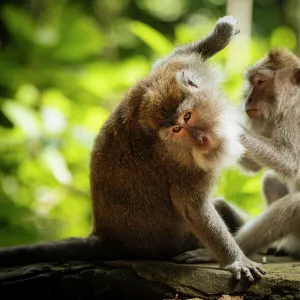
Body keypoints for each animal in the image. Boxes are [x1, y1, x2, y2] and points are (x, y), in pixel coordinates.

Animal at [0, 17, 264, 282]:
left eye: (188, 116)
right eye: (177, 129)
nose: (201, 140)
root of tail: (106, 236)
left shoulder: (174, 69)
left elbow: (170, 59)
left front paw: (220, 36)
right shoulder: (182, 163)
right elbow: (194, 208)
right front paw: (235, 260)